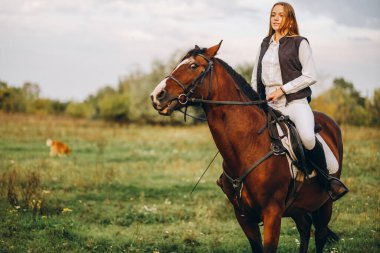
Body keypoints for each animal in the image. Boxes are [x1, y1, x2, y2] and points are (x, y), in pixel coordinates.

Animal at [150, 42, 342, 252]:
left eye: (193, 66)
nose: (156, 95)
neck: (249, 144)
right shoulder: (243, 216)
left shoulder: (272, 214)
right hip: (298, 208)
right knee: (305, 228)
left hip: (324, 204)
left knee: (320, 235)